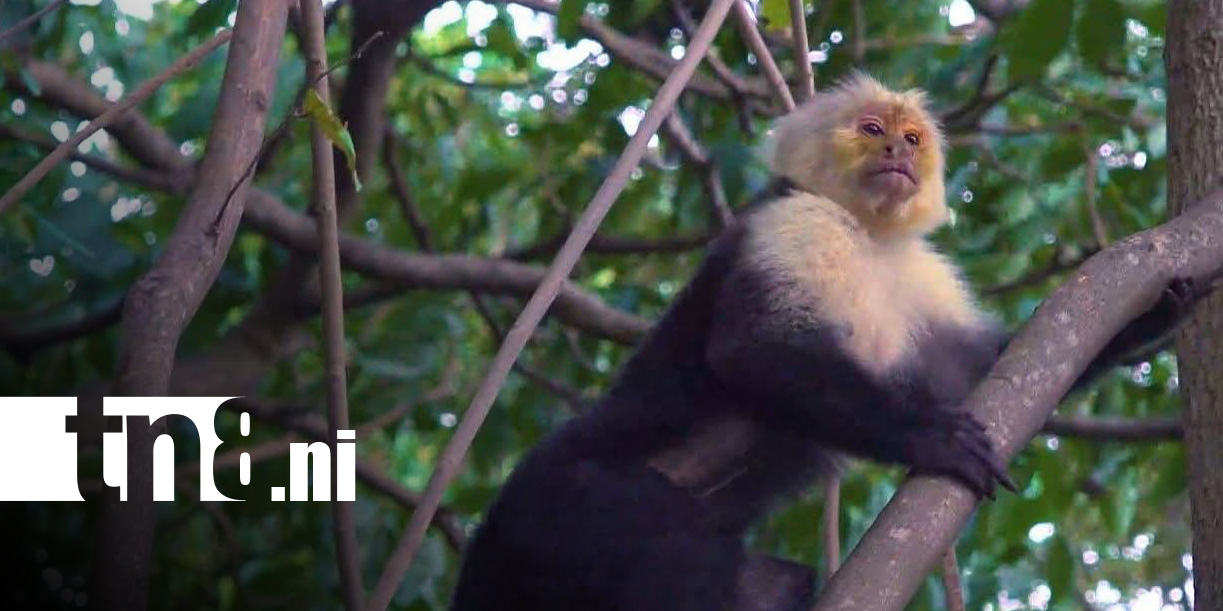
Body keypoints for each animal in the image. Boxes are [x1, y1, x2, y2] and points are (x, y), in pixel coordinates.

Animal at [446, 73, 1203, 611]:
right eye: (870, 129)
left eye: (911, 138)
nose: (896, 151)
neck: (865, 232)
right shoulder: (792, 225)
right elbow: (750, 352)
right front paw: (930, 437)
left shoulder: (920, 276)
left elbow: (996, 365)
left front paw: (1161, 306)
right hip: (576, 505)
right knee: (680, 565)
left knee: (770, 582)